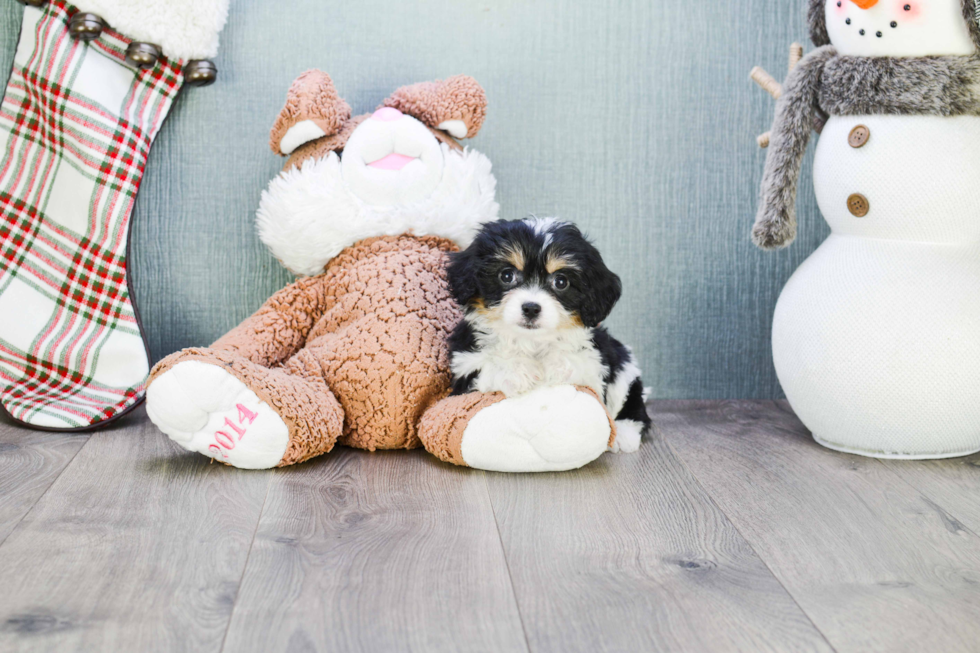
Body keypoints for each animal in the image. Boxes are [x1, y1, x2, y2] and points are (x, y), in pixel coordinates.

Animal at [450, 216, 652, 450]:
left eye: (561, 281)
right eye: (506, 275)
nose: (531, 308)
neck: (532, 341)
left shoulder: (596, 363)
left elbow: (576, 362)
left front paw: (557, 366)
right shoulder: (464, 366)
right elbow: (488, 364)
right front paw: (516, 370)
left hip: (624, 366)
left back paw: (624, 434)